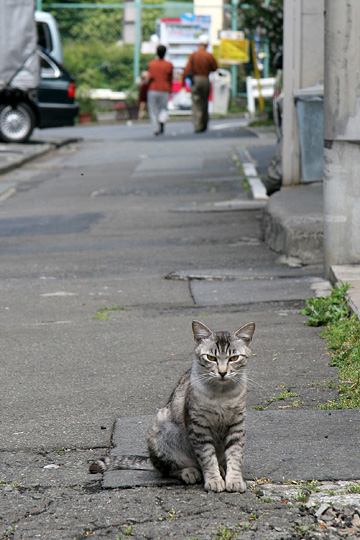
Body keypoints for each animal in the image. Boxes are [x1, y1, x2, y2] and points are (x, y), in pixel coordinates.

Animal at [147, 320, 256, 494]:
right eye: (211, 357)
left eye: (234, 358)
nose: (222, 372)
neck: (221, 395)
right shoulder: (199, 427)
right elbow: (207, 457)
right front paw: (214, 480)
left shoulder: (237, 425)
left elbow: (235, 455)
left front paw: (234, 480)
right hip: (160, 430)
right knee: (168, 469)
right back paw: (189, 472)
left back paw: (222, 469)